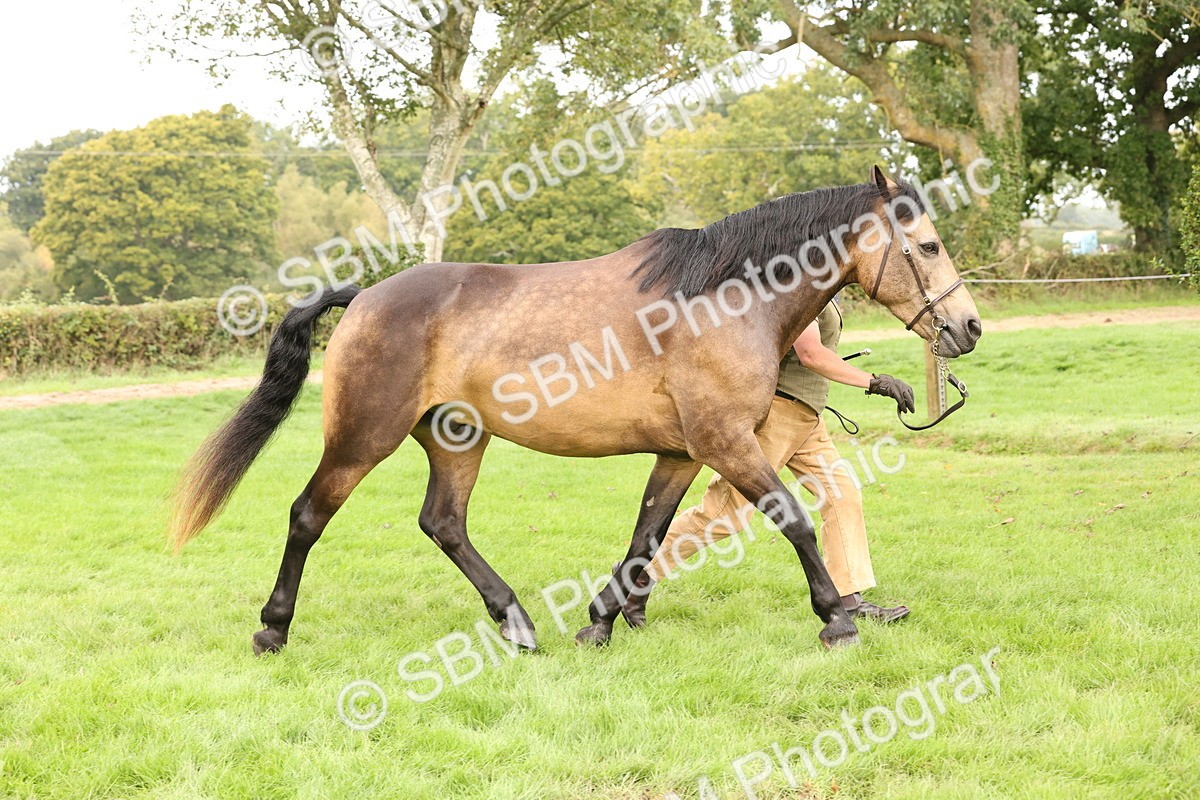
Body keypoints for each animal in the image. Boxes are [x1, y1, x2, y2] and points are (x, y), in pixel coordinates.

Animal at [172, 166, 982, 655]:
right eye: (928, 245)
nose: (968, 327)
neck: (722, 299)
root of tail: (364, 295)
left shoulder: (682, 453)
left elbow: (648, 535)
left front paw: (601, 621)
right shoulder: (727, 445)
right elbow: (795, 521)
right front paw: (837, 618)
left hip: (457, 440)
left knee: (444, 524)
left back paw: (519, 623)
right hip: (362, 438)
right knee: (308, 515)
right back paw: (273, 631)